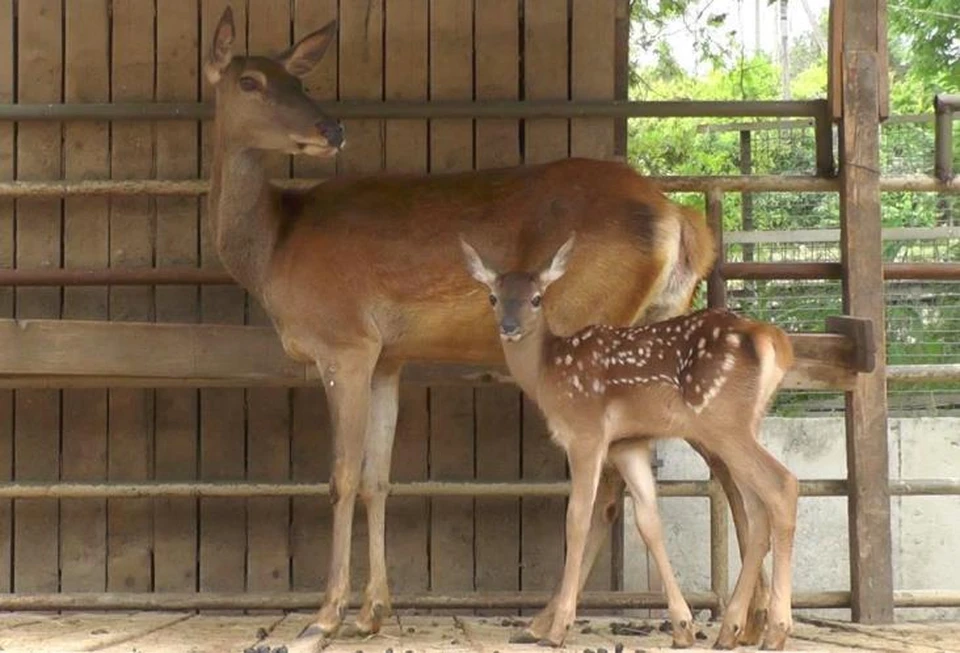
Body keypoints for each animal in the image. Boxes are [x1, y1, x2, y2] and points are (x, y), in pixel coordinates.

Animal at [462, 233, 800, 648]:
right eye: (493, 297)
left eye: (537, 298)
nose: (509, 326)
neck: (546, 372)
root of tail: (774, 340)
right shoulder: (628, 444)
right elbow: (648, 521)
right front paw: (682, 626)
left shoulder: (586, 431)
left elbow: (577, 518)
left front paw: (557, 629)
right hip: (743, 424)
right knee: (756, 507)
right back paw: (731, 629)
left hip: (722, 420)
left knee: (782, 484)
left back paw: (777, 630)